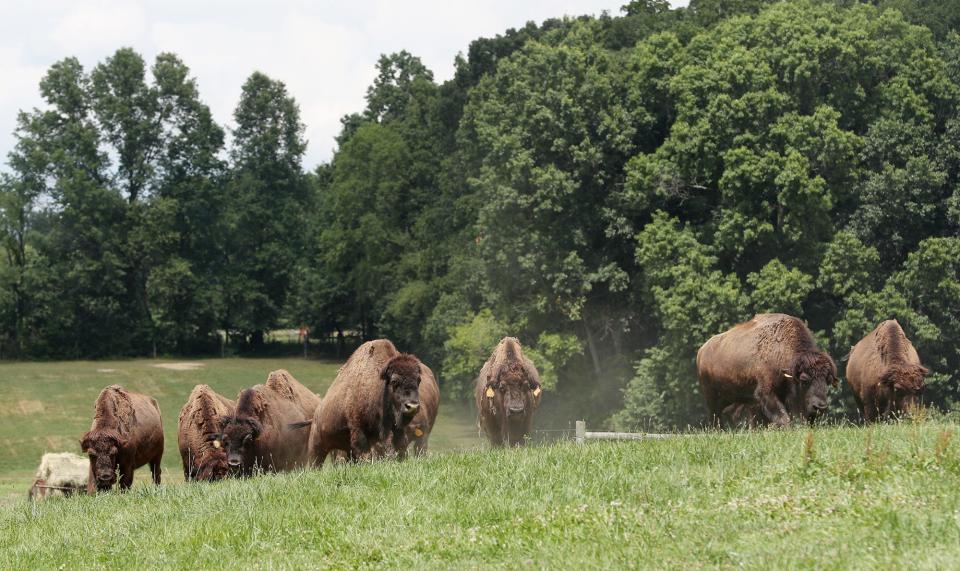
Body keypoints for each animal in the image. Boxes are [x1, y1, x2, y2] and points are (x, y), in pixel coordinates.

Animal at [692, 312, 836, 428]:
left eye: (827, 380)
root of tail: (702, 350)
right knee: (715, 415)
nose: (820, 407)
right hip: (711, 396)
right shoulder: (765, 394)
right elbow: (782, 416)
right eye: (804, 380)